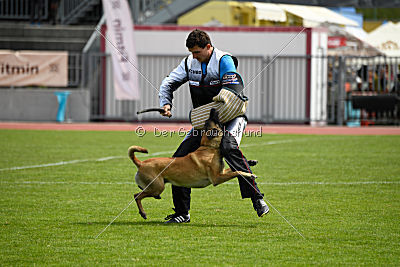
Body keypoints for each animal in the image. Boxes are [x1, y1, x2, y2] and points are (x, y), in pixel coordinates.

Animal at [130, 109, 258, 220]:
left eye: (209, 121)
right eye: (215, 121)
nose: (213, 109)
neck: (209, 147)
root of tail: (141, 163)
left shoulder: (220, 173)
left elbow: (233, 168)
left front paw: (251, 162)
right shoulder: (217, 178)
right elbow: (237, 172)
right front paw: (250, 174)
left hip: (155, 187)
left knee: (139, 194)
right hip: (157, 187)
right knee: (136, 196)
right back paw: (143, 213)